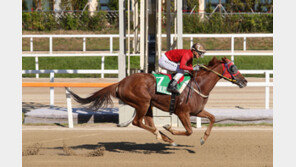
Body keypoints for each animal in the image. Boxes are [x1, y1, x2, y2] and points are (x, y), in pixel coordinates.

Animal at [67, 56, 247, 145]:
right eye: (233, 68)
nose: (244, 81)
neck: (199, 85)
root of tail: (121, 83)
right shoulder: (182, 112)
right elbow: (189, 131)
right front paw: (170, 128)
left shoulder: (197, 111)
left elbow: (213, 118)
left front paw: (204, 138)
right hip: (142, 102)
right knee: (138, 122)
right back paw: (163, 136)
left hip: (148, 105)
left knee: (148, 122)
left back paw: (164, 137)